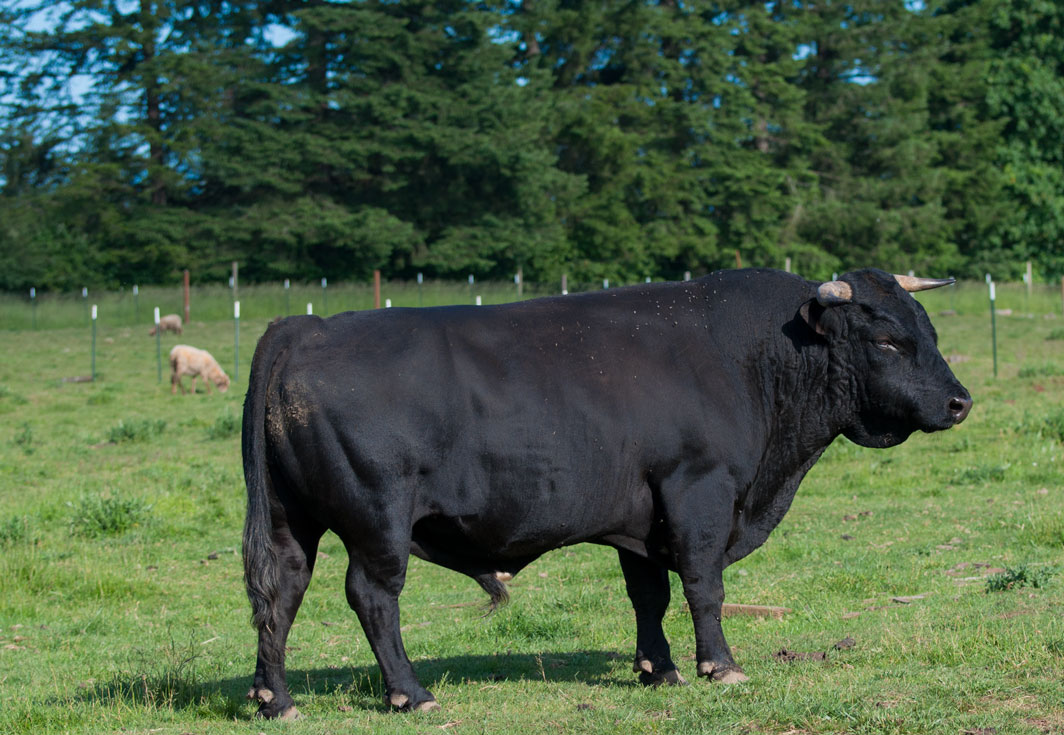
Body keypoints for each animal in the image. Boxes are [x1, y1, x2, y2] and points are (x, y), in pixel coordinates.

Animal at [241, 269, 974, 719]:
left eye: (930, 330)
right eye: (887, 339)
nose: (960, 401)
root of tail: (303, 326)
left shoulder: (642, 517)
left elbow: (648, 593)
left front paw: (659, 668)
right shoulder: (699, 491)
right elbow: (703, 586)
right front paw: (720, 666)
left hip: (289, 520)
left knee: (280, 594)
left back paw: (276, 698)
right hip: (378, 520)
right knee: (371, 597)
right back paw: (410, 692)